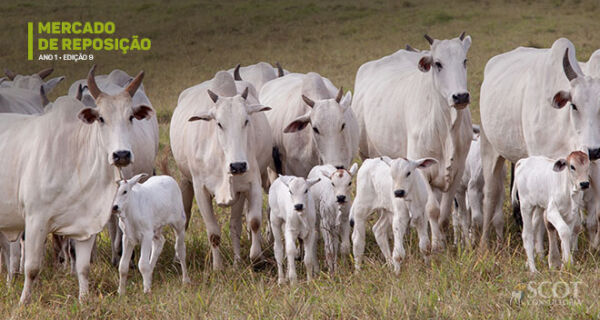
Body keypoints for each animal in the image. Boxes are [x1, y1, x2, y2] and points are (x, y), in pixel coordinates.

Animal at [169, 71, 272, 268]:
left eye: (246, 121)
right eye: (218, 123)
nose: (238, 165)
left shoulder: (251, 184)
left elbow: (253, 222)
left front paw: (256, 259)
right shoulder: (200, 190)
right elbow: (213, 233)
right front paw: (217, 267)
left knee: (235, 225)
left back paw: (237, 261)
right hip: (185, 180)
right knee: (184, 218)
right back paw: (178, 258)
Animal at [352, 31, 474, 245]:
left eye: (464, 60)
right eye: (438, 63)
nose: (460, 96)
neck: (445, 125)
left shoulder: (457, 169)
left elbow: (443, 214)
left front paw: (441, 239)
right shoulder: (421, 167)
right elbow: (432, 210)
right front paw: (437, 245)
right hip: (367, 155)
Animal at [480, 37, 600, 248]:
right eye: (574, 105)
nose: (594, 151)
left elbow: (585, 216)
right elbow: (542, 218)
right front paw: (540, 249)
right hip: (491, 149)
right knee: (490, 194)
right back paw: (485, 243)